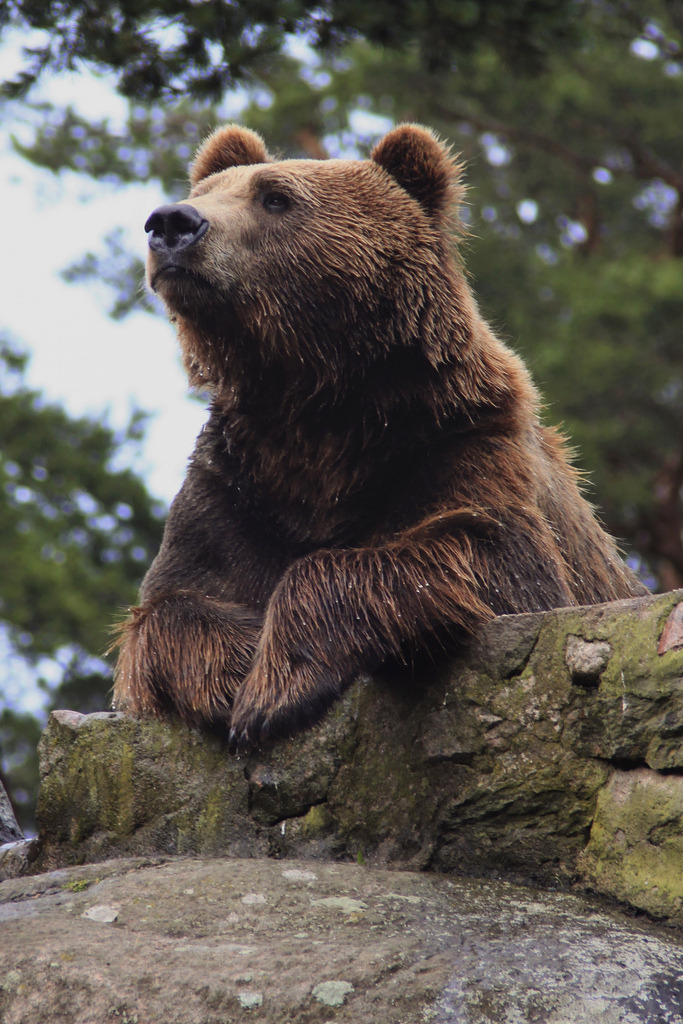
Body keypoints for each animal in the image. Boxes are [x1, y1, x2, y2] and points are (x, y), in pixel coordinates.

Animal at [113, 123, 647, 749]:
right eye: (205, 191)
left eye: (275, 198)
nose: (172, 223)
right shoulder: (235, 491)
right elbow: (170, 604)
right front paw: (238, 673)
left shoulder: (457, 446)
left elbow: (485, 553)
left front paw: (275, 690)